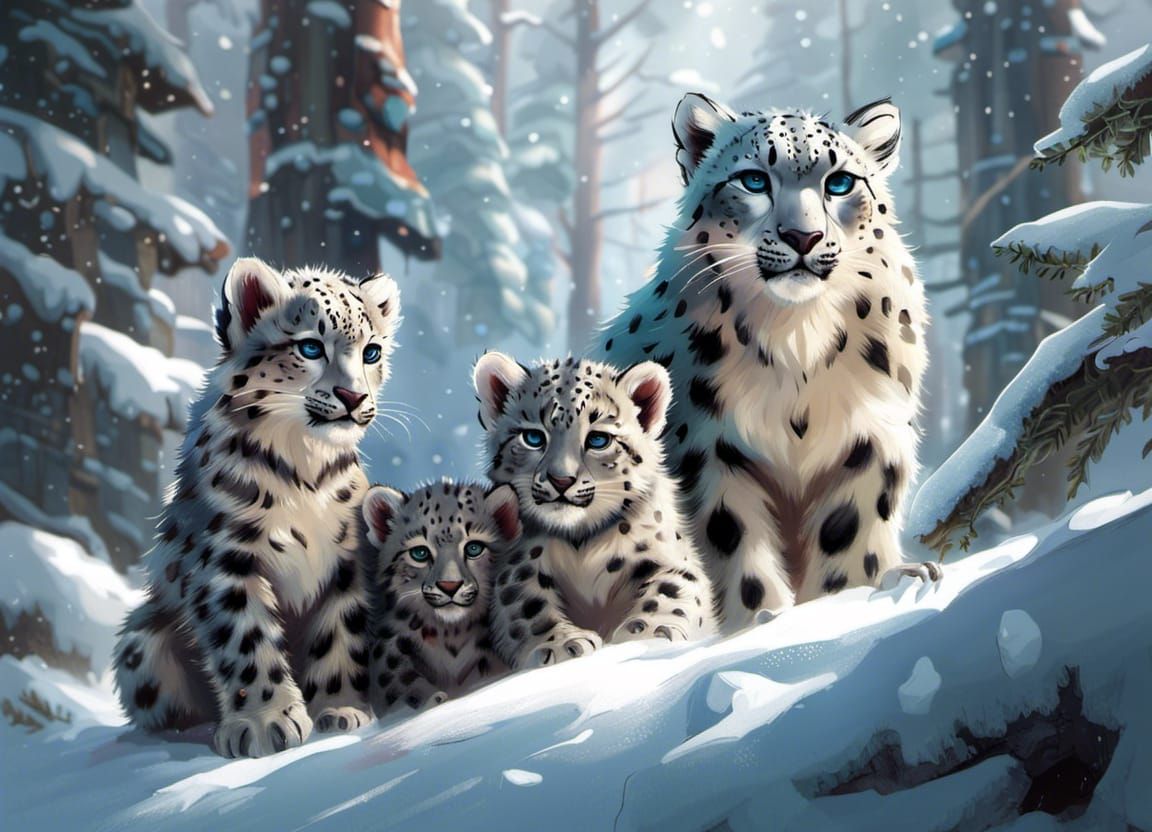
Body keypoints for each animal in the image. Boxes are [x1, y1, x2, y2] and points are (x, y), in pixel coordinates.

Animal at [112, 256, 399, 757]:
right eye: (309, 347)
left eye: (371, 352)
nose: (353, 398)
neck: (306, 468)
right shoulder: (224, 557)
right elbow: (247, 640)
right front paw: (267, 725)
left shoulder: (349, 560)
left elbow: (341, 633)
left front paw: (339, 710)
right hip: (140, 645)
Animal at [473, 353, 716, 669]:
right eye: (533, 438)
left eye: (599, 439)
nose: (561, 480)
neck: (582, 542)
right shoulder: (518, 563)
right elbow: (526, 603)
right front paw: (563, 644)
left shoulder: (668, 555)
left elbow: (672, 586)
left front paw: (650, 630)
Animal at [595, 94, 939, 635]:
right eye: (754, 180)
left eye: (840, 181)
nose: (803, 236)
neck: (797, 338)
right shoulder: (706, 448)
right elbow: (727, 539)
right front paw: (760, 616)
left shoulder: (870, 438)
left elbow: (850, 530)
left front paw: (847, 595)